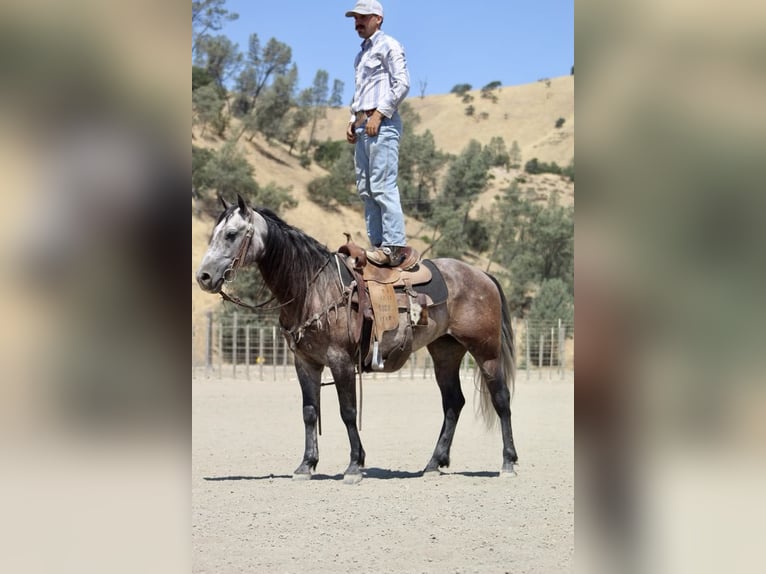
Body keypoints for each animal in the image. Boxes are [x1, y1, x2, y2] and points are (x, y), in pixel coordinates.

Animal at [196, 194, 519, 482]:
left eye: (231, 234)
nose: (204, 277)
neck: (312, 287)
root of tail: (483, 275)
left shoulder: (339, 360)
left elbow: (348, 411)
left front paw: (353, 466)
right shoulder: (305, 363)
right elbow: (310, 412)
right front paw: (306, 465)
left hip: (486, 351)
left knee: (501, 399)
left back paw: (508, 463)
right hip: (445, 352)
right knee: (453, 403)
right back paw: (432, 464)